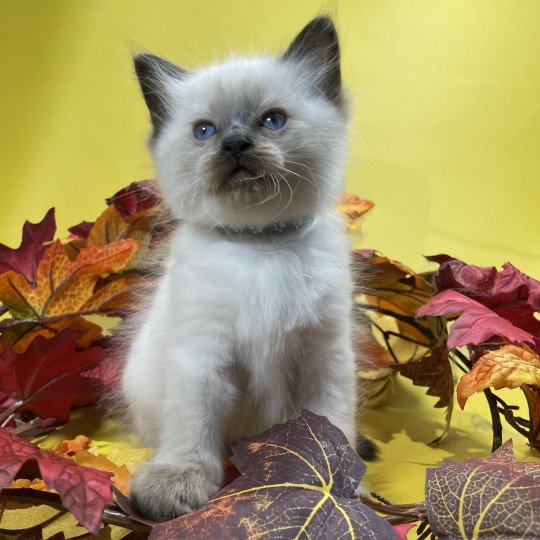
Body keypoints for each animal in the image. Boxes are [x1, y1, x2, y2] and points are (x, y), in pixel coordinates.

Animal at [122, 17, 368, 524]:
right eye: (204, 131)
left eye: (272, 120)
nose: (235, 143)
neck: (262, 245)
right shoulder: (201, 356)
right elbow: (193, 425)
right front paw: (178, 483)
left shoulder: (324, 355)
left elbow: (333, 428)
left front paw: (335, 486)